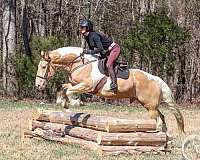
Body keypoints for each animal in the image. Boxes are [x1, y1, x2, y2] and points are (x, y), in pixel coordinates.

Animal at [35, 46, 185, 134]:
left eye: (43, 67)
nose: (38, 86)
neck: (80, 64)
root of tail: (156, 79)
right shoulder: (75, 83)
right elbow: (63, 87)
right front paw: (63, 102)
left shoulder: (88, 85)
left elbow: (69, 91)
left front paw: (76, 102)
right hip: (149, 105)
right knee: (162, 118)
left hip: (150, 107)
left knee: (157, 121)